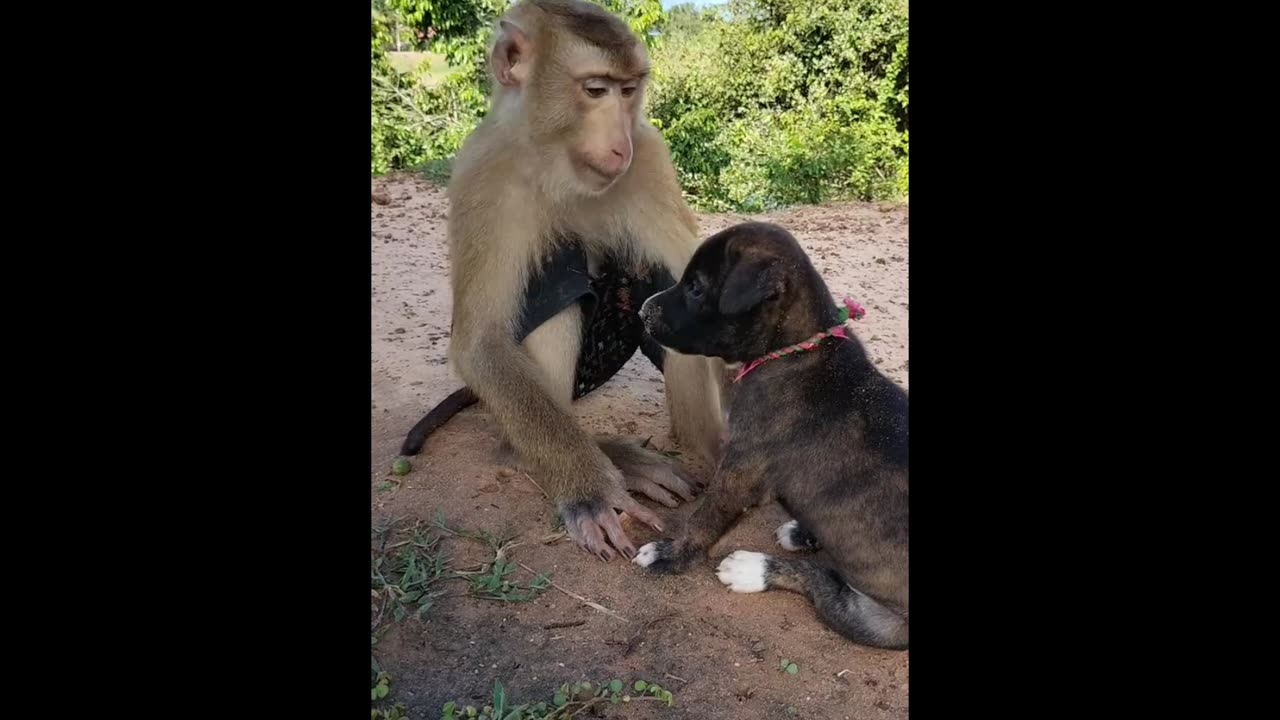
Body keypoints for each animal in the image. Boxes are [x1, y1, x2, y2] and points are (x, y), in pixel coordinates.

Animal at [412, 0, 732, 561]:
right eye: (596, 90)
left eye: (629, 91)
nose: (619, 144)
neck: (558, 167)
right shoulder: (482, 173)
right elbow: (481, 341)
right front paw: (590, 490)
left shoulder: (650, 156)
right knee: (556, 285)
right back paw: (579, 457)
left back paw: (706, 451)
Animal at [632, 221, 911, 648]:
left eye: (695, 287)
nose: (642, 310)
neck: (794, 349)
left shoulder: (740, 469)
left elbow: (704, 520)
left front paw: (670, 555)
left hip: (876, 619)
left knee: (821, 581)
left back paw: (752, 569)